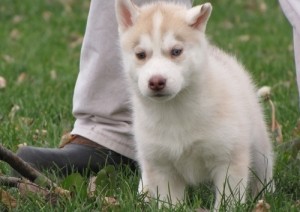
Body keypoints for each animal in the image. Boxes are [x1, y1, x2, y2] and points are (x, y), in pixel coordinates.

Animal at [115, 0, 274, 209]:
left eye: (176, 51)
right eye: (141, 54)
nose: (156, 81)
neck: (175, 111)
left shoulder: (228, 159)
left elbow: (228, 199)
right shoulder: (161, 165)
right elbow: (169, 202)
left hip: (258, 143)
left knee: (264, 167)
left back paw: (265, 195)